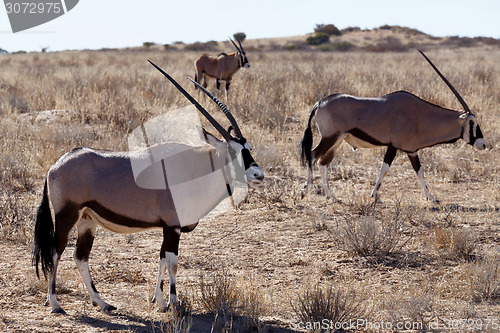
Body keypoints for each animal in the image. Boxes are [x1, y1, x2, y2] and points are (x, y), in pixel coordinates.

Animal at [32, 61, 264, 314]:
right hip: (67, 215)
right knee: (55, 251)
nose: (258, 175)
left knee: (80, 256)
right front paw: (173, 304)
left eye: (248, 148)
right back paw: (55, 304)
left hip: (87, 220)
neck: (195, 168)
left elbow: (161, 259)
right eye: (232, 151)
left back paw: (102, 302)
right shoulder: (172, 227)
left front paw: (159, 301)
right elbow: (172, 263)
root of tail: (55, 165)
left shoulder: (167, 228)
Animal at [300, 50, 484, 201]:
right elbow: (384, 169)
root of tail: (319, 103)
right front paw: (373, 195)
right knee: (312, 155)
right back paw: (305, 191)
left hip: (337, 141)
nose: (483, 144)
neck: (420, 115)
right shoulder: (393, 146)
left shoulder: (411, 150)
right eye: (472, 123)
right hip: (331, 137)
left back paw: (331, 196)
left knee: (323, 162)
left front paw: (431, 197)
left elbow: (419, 171)